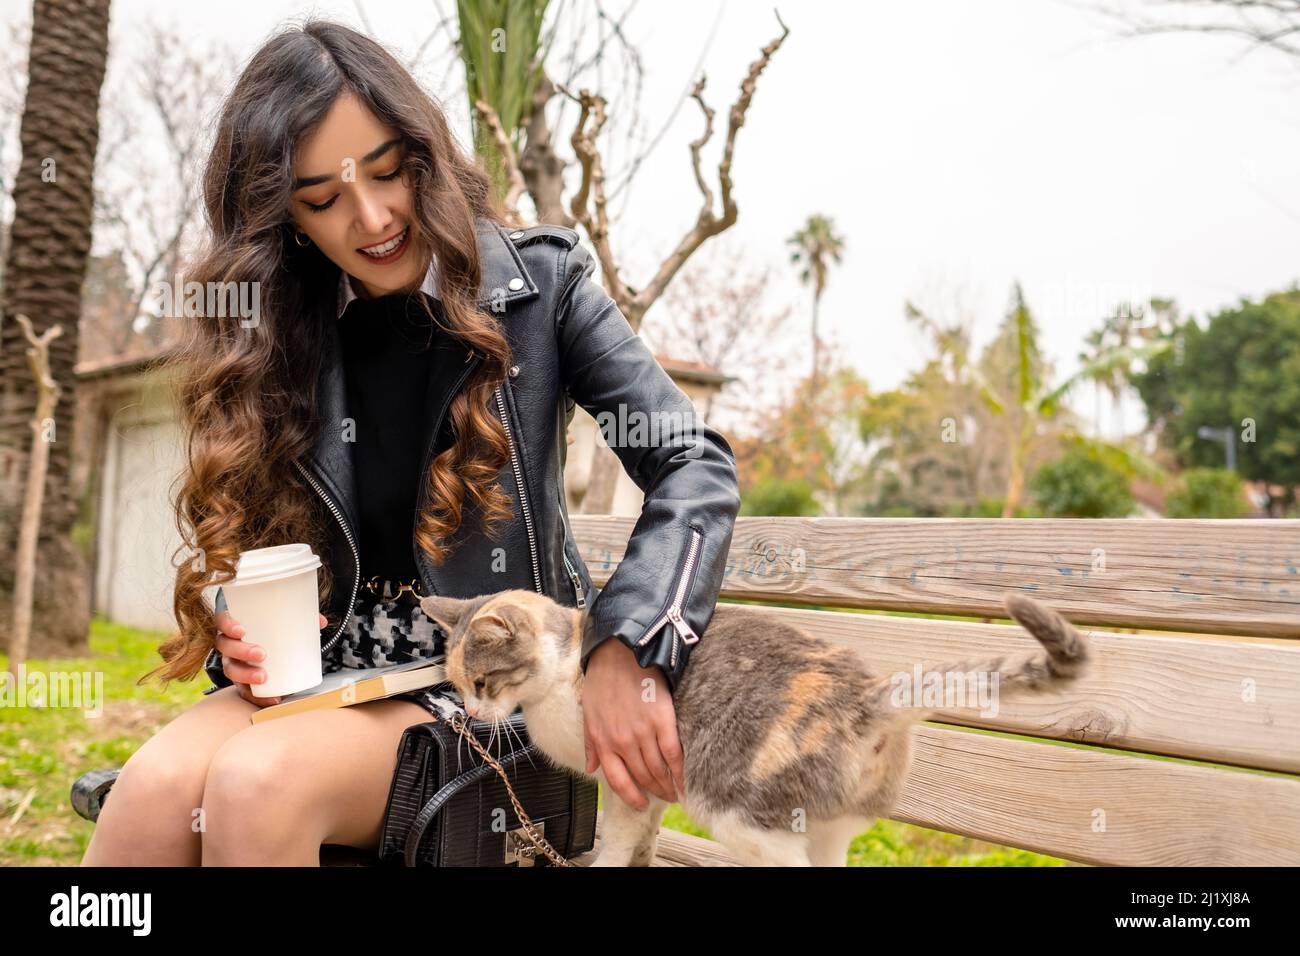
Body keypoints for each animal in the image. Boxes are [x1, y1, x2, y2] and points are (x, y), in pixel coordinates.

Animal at [416, 590, 1086, 868]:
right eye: (458, 682)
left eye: (484, 683)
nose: (470, 714)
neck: (564, 674)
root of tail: (866, 694)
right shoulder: (654, 785)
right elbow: (644, 841)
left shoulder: (627, 779)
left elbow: (617, 841)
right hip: (832, 830)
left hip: (740, 817)